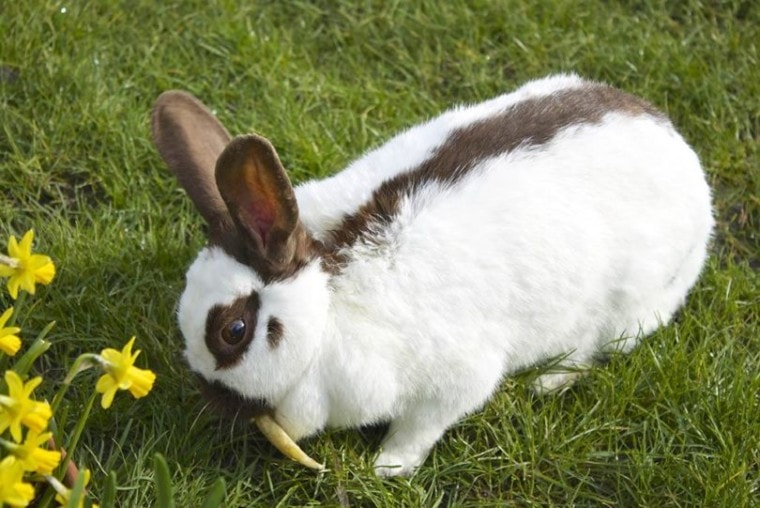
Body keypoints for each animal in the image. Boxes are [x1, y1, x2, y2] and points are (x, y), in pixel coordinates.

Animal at [153, 72, 712, 476]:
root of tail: (686, 159)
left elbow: (422, 427)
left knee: (595, 349)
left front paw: (388, 467)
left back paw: (547, 382)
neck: (328, 305)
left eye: (234, 331)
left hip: (626, 309)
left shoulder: (453, 383)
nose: (214, 400)